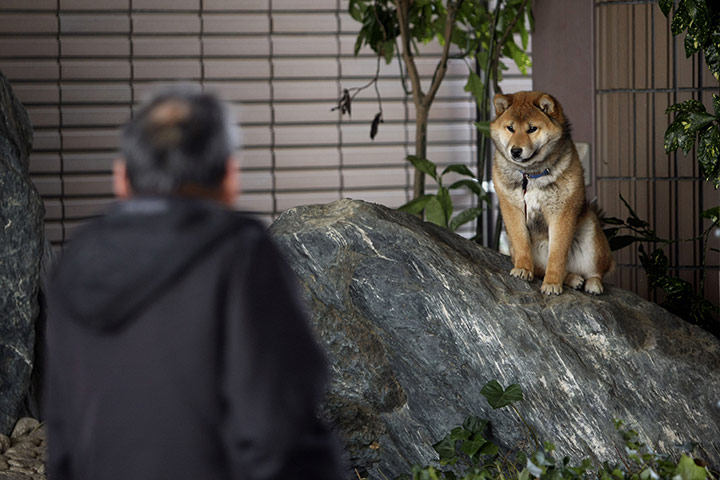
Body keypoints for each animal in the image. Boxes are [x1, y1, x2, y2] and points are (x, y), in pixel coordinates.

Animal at [490, 89, 612, 292]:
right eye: (510, 128)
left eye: (532, 128)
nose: (515, 151)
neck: (531, 175)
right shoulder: (512, 211)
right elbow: (521, 242)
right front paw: (523, 269)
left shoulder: (561, 213)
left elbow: (557, 255)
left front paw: (552, 283)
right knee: (545, 269)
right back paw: (572, 279)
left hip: (592, 237)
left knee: (597, 271)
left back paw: (592, 284)